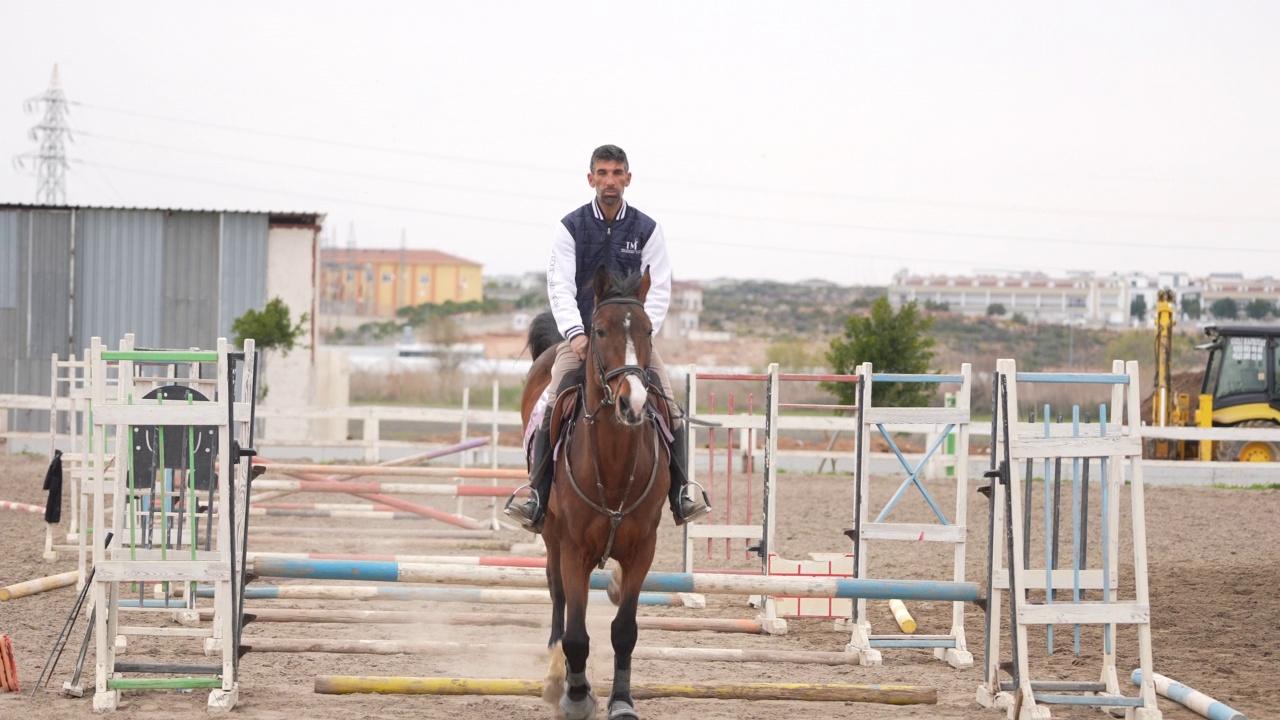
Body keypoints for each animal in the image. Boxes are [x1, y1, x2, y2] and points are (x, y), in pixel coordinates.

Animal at [519, 265, 670, 717]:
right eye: (600, 331)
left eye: (648, 330)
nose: (632, 403)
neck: (615, 466)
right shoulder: (574, 548)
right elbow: (576, 633)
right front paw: (575, 695)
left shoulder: (642, 548)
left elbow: (624, 630)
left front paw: (621, 700)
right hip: (551, 532)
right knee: (558, 595)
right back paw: (557, 675)